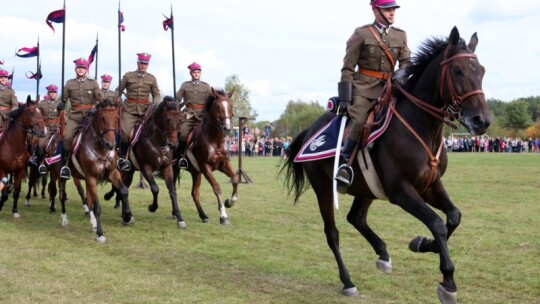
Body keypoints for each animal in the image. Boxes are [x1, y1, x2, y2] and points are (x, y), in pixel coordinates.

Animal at [58, 97, 133, 242]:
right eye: (103, 118)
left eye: (116, 118)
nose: (111, 144)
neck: (100, 148)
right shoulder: (91, 177)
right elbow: (97, 206)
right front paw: (100, 233)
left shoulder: (112, 173)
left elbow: (124, 191)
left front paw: (127, 216)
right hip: (61, 176)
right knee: (62, 196)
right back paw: (64, 220)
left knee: (87, 199)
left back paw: (92, 223)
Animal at [104, 96, 187, 227]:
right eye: (167, 119)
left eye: (180, 119)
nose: (173, 145)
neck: (157, 141)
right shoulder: (145, 168)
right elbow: (155, 188)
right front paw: (152, 207)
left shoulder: (167, 167)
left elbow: (172, 191)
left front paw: (179, 217)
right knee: (120, 187)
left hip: (130, 171)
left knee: (124, 187)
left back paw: (125, 214)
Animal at [174, 86, 239, 224]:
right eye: (218, 107)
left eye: (231, 106)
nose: (227, 128)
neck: (215, 140)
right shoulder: (205, 167)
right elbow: (217, 187)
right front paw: (223, 216)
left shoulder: (223, 164)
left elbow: (235, 178)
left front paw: (230, 202)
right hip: (174, 169)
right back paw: (177, 215)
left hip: (195, 173)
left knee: (195, 193)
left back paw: (203, 216)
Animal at [282, 27, 490, 302]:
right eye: (458, 70)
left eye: (482, 71)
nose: (481, 121)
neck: (420, 126)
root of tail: (309, 130)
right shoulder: (401, 191)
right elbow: (437, 224)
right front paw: (447, 281)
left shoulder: (430, 185)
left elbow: (453, 217)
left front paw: (423, 244)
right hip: (324, 189)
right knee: (332, 233)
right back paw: (348, 281)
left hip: (366, 188)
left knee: (356, 218)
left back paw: (383, 254)